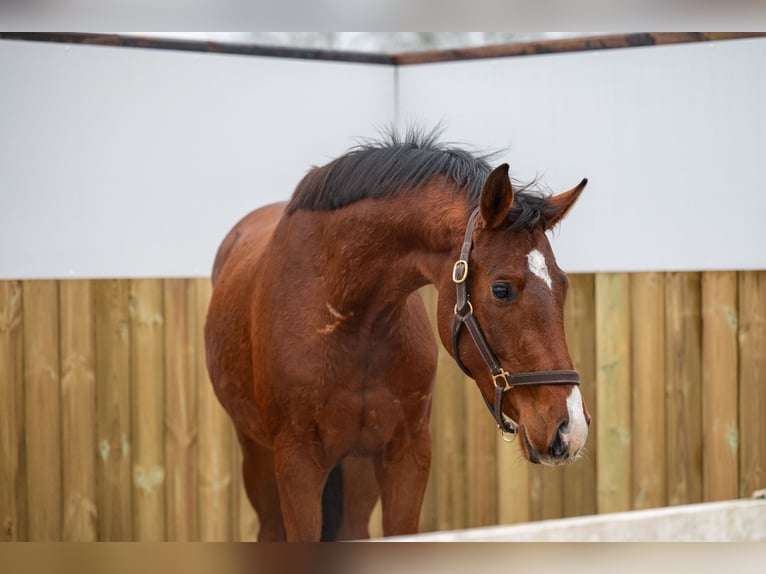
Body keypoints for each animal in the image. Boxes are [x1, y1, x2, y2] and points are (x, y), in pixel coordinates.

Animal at [206, 128, 592, 544]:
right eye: (502, 289)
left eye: (563, 285)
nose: (571, 428)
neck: (351, 321)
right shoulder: (297, 461)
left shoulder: (407, 454)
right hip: (258, 456)